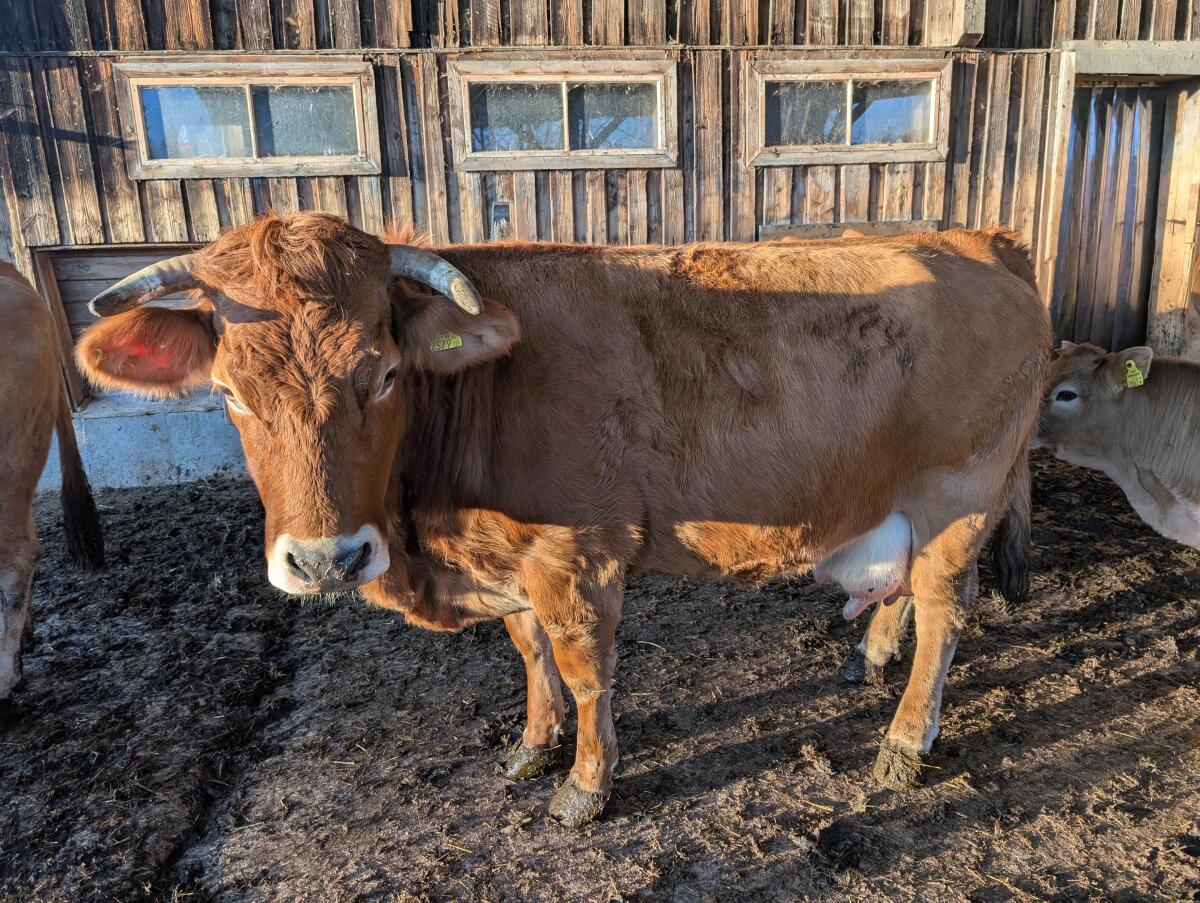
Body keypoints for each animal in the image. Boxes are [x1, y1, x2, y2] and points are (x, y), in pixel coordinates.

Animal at [74, 213, 1048, 826]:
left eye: (382, 373)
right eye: (229, 392)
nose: (323, 560)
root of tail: (978, 240)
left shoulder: (577, 555)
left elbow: (583, 671)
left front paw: (584, 784)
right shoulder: (509, 563)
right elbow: (529, 653)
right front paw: (533, 747)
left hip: (959, 493)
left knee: (944, 610)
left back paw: (905, 740)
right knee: (906, 592)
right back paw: (871, 658)